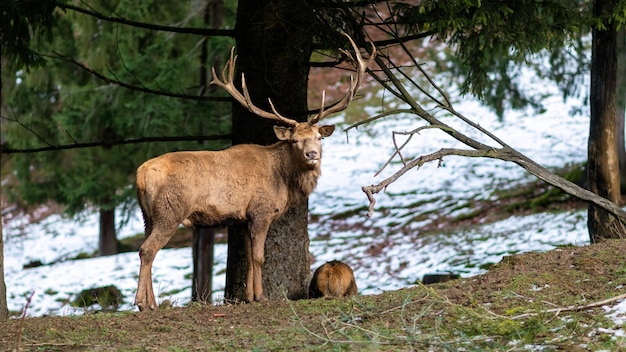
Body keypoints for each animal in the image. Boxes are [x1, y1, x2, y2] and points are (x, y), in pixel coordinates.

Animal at [133, 34, 372, 310]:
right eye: (294, 140)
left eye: (318, 138)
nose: (312, 155)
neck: (284, 181)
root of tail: (140, 176)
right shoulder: (261, 210)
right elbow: (259, 257)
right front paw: (261, 296)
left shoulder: (243, 218)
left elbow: (247, 257)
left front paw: (247, 297)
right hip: (170, 210)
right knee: (148, 250)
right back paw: (143, 304)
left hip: (147, 215)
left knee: (146, 248)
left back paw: (151, 302)